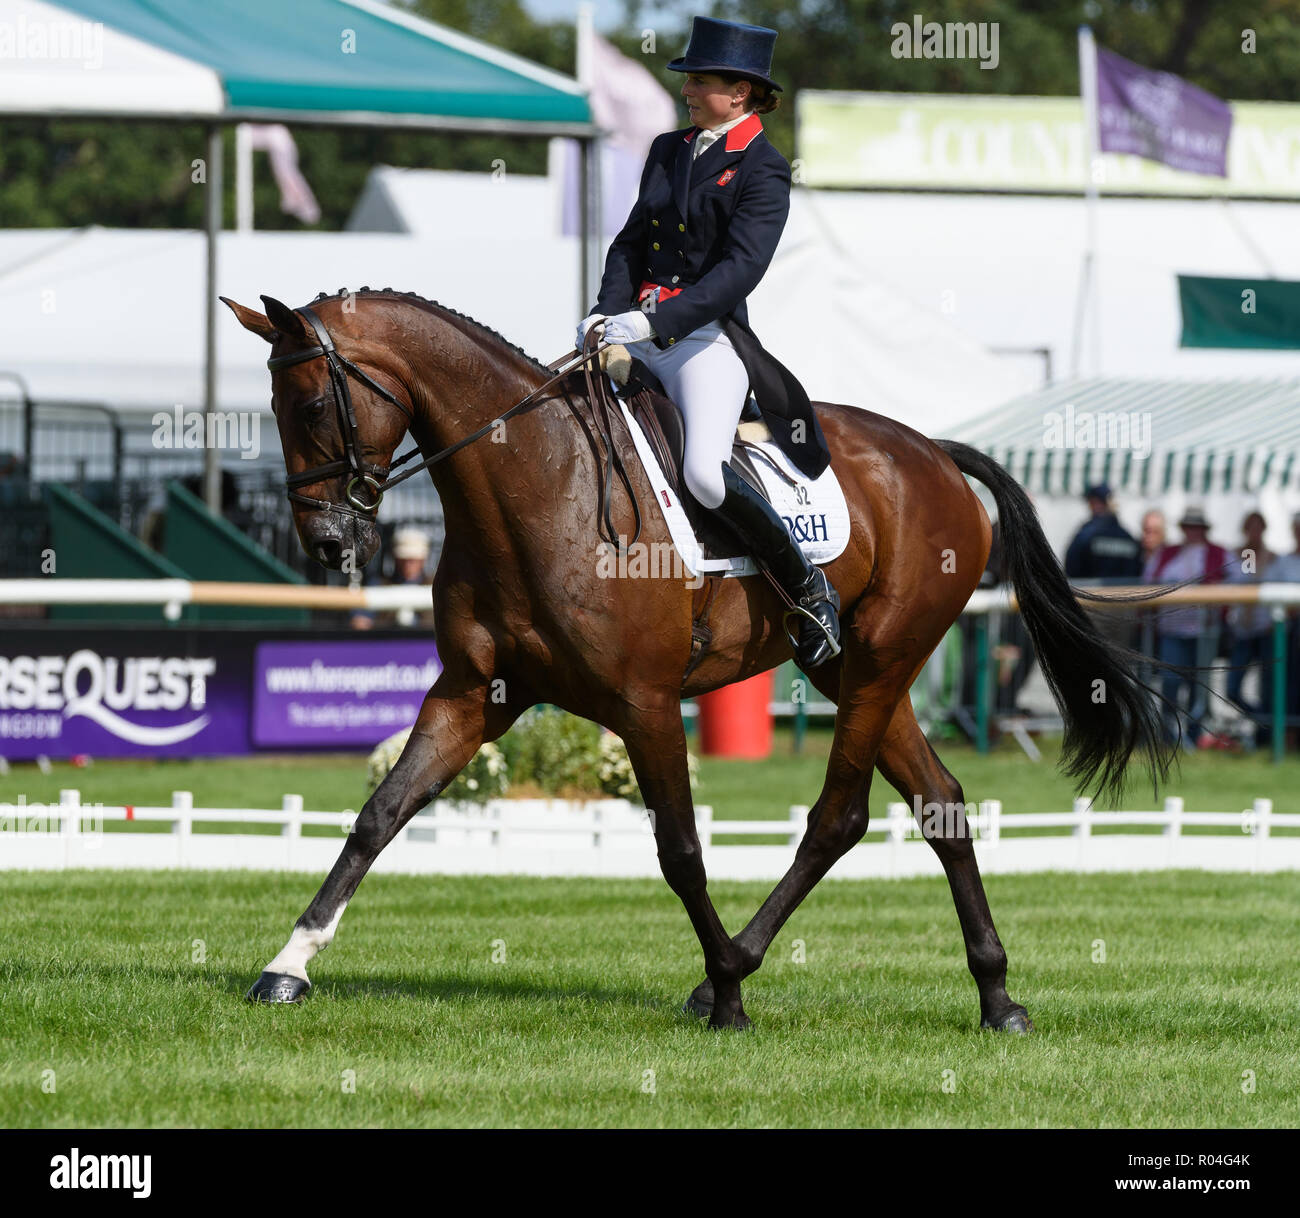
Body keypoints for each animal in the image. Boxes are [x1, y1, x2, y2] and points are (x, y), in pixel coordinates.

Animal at [220, 289, 1170, 1029]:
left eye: (312, 408)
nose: (327, 543)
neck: (537, 482)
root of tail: (937, 454)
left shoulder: (644, 705)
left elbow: (680, 850)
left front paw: (729, 998)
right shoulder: (472, 694)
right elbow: (380, 814)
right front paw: (288, 965)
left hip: (880, 662)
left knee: (839, 817)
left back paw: (735, 974)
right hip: (853, 671)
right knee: (939, 804)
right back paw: (997, 997)